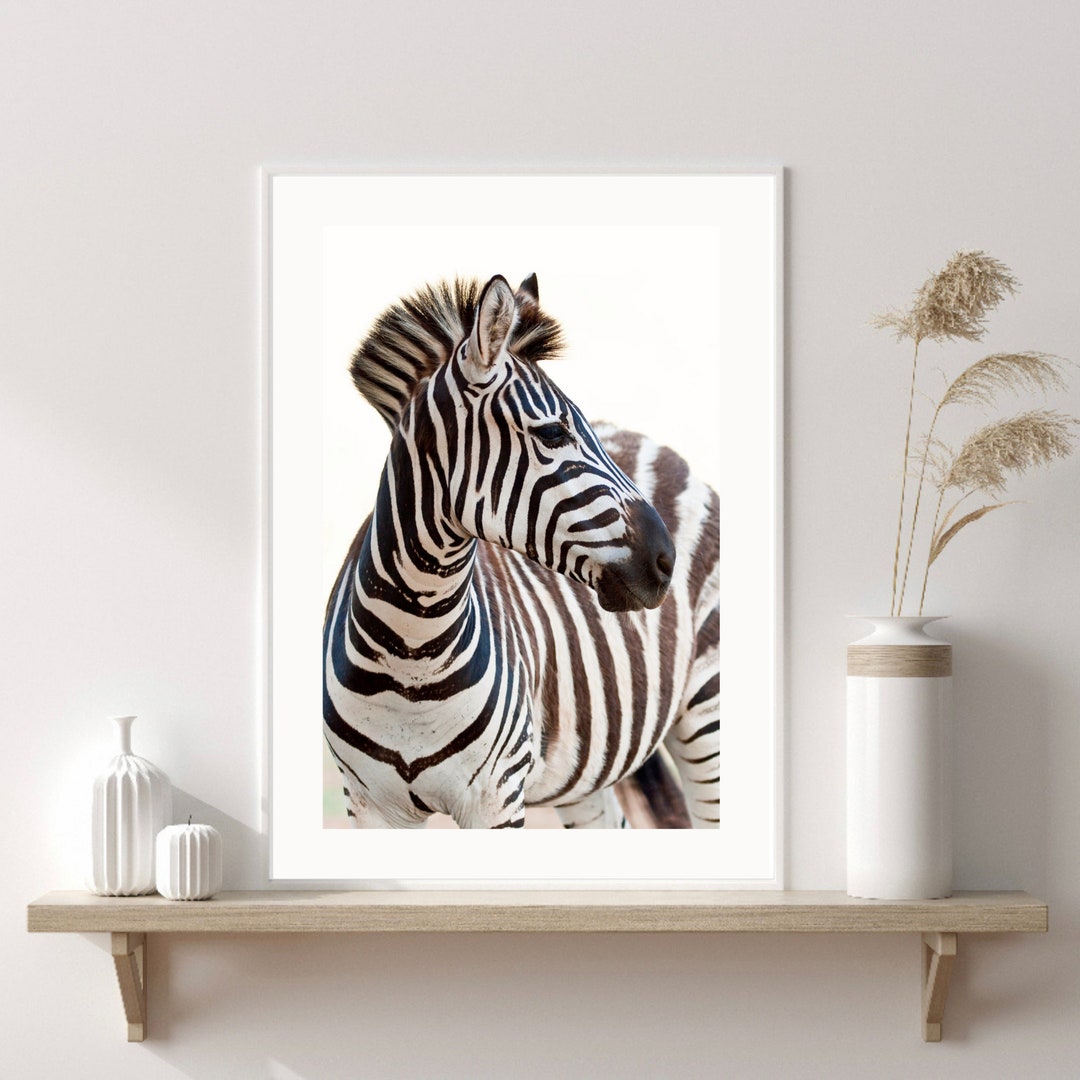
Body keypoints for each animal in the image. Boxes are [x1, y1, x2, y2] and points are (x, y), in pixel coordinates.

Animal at [323, 273, 720, 829]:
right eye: (552, 432)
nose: (666, 562)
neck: (410, 657)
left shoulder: (497, 798)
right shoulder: (367, 806)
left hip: (709, 711)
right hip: (585, 771)